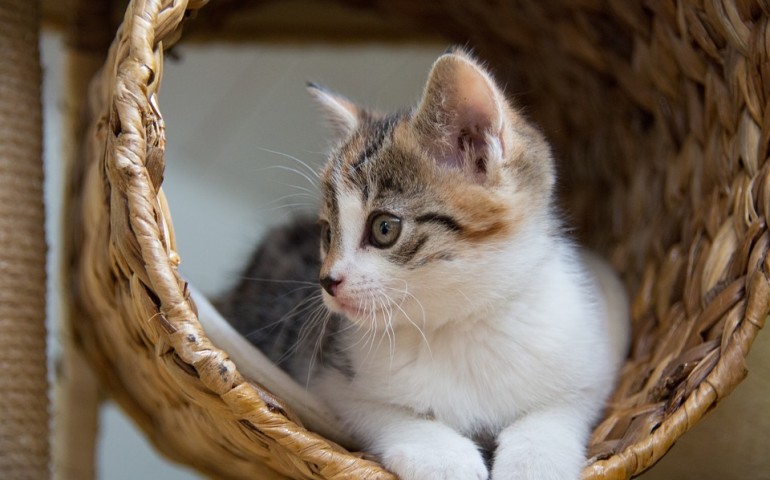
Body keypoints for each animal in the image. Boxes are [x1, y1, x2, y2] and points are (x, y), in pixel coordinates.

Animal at [219, 49, 628, 480]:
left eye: (384, 228)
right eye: (327, 233)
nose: (327, 281)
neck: (461, 326)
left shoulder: (591, 360)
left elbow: (559, 410)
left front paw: (535, 462)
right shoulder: (329, 378)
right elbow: (383, 412)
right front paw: (443, 456)